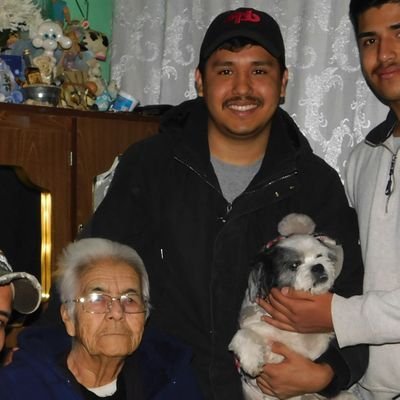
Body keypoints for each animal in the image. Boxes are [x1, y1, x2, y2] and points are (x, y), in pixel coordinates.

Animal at [228, 214, 350, 400]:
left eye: (320, 256)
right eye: (294, 265)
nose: (318, 266)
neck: (293, 334)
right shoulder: (261, 332)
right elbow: (244, 333)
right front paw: (251, 360)